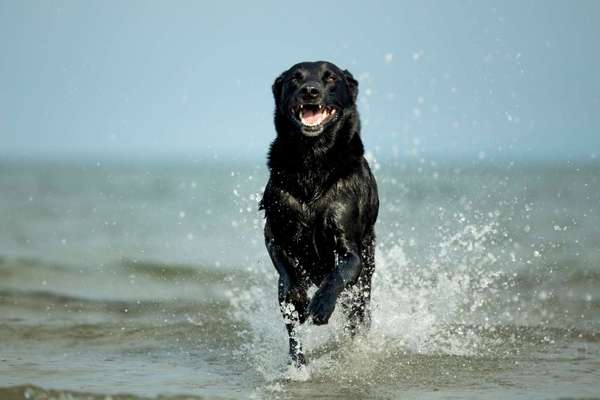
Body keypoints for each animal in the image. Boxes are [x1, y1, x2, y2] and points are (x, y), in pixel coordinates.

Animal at [258, 61, 380, 368]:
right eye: (295, 78)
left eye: (331, 78)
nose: (310, 91)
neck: (312, 161)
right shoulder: (274, 232)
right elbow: (286, 268)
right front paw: (300, 298)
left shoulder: (349, 246)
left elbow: (339, 272)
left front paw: (321, 305)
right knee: (292, 332)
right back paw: (298, 364)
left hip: (363, 284)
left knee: (358, 317)